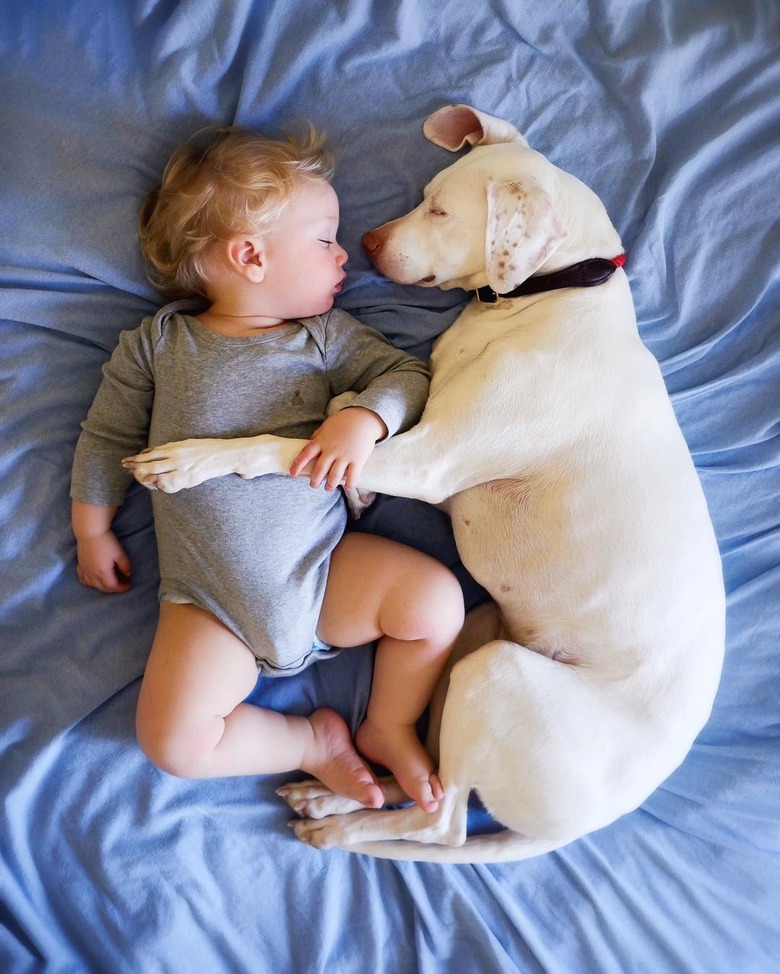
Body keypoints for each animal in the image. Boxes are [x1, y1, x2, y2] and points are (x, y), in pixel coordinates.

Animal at [126, 105, 724, 860]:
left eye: (440, 210)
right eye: (426, 192)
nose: (366, 242)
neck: (549, 298)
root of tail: (593, 821)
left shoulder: (430, 462)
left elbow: (281, 444)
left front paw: (194, 461)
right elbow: (342, 409)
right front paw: (351, 479)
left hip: (490, 675)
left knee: (443, 822)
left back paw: (341, 825)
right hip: (472, 645)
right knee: (429, 780)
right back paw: (339, 788)